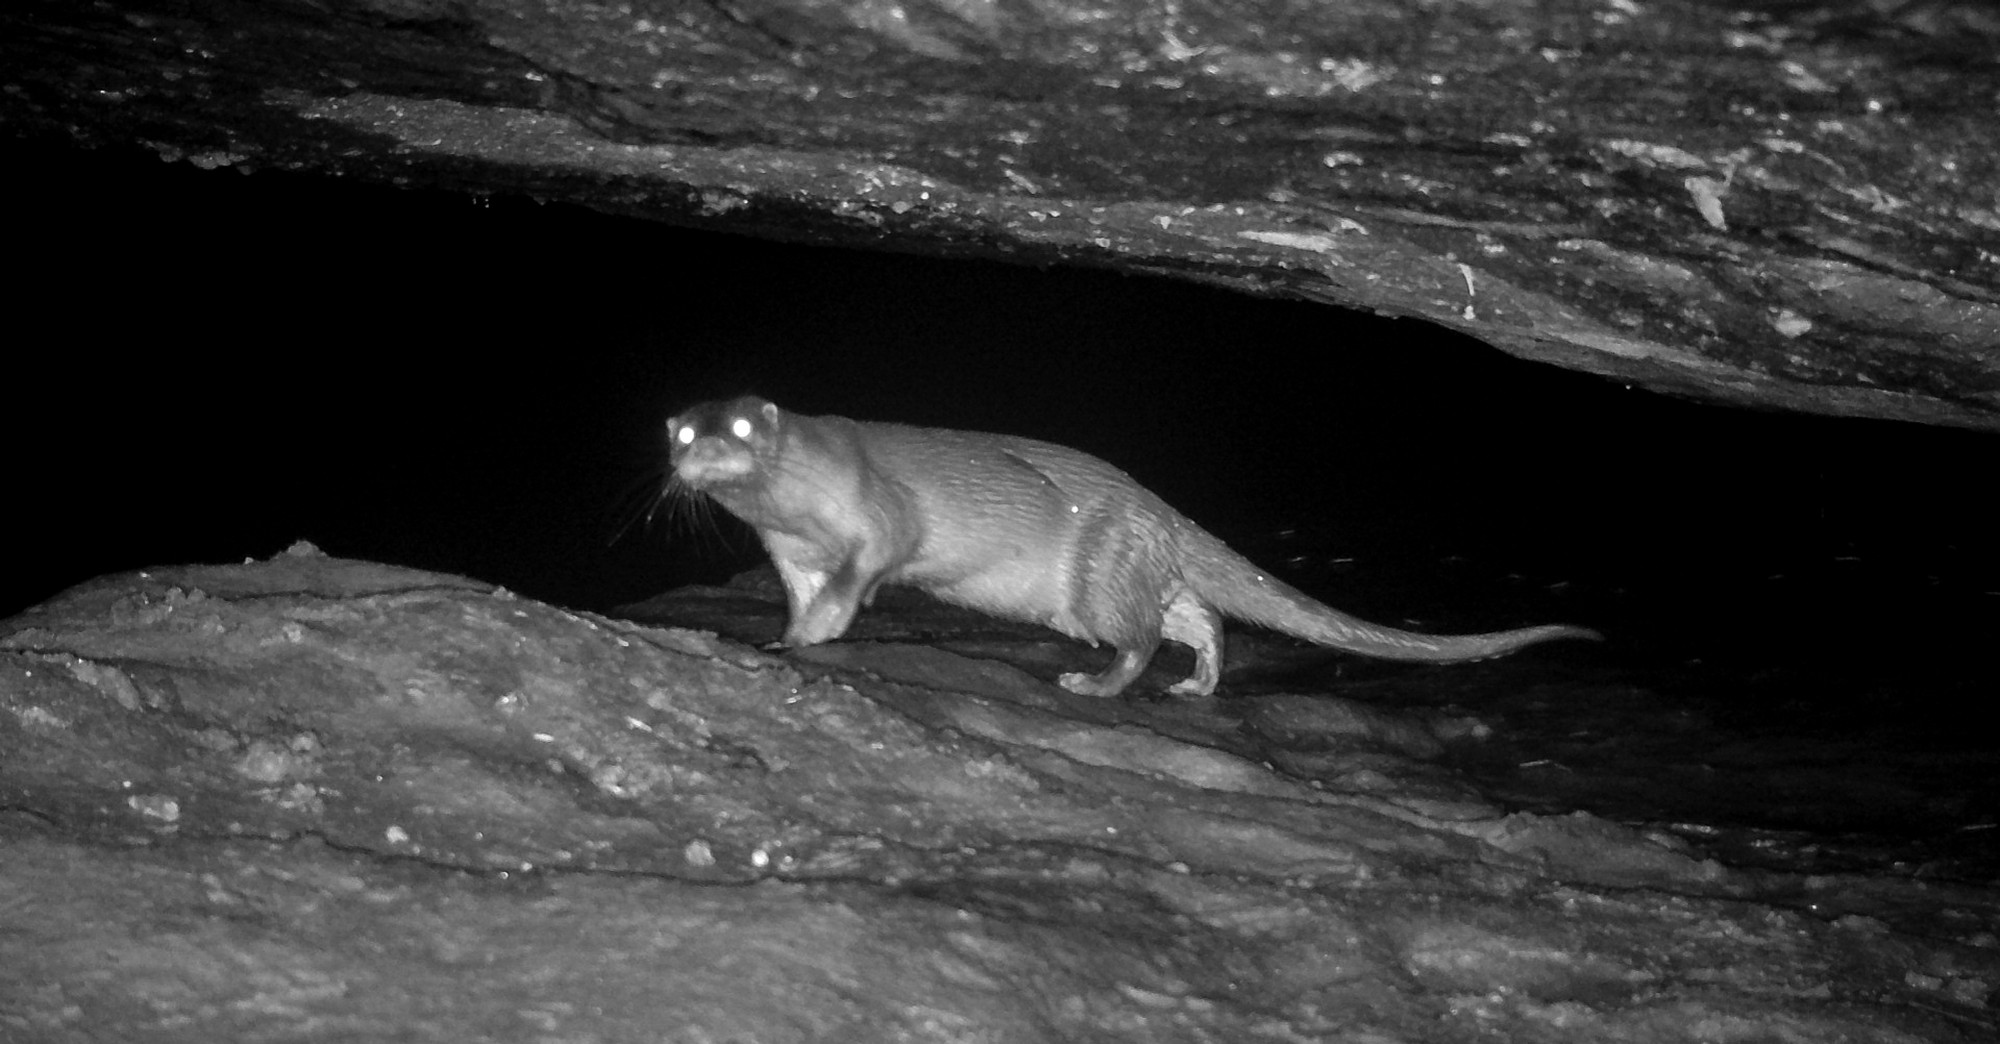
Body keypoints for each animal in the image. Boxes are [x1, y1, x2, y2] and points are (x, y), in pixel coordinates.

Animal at [666, 396, 1598, 697]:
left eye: (742, 427)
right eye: (678, 430)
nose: (698, 451)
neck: (803, 510)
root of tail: (1157, 504)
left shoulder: (877, 515)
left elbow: (864, 572)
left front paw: (824, 628)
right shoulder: (787, 551)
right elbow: (798, 598)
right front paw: (789, 639)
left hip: (1096, 574)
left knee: (1143, 633)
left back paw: (1096, 684)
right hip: (1111, 578)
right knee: (1199, 617)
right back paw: (1198, 686)